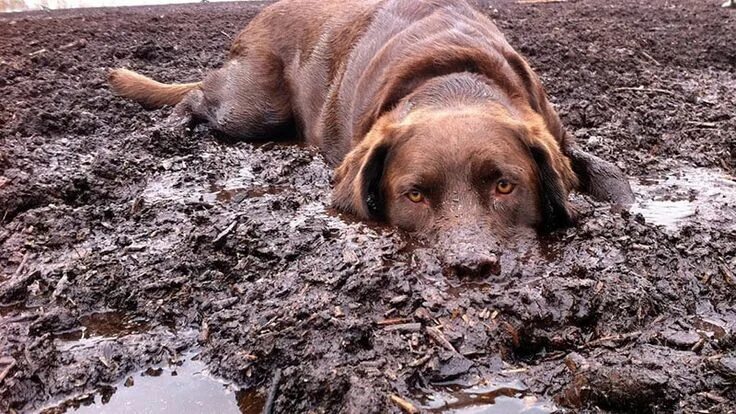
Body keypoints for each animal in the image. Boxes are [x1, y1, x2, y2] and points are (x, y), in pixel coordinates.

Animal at [109, 0, 632, 276]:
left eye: (505, 186)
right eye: (414, 195)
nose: (469, 267)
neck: (454, 81)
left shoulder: (553, 131)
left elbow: (609, 173)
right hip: (252, 108)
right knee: (199, 93)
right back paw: (172, 127)